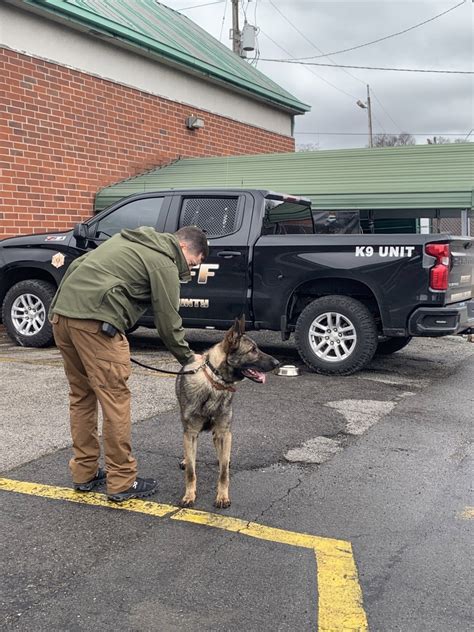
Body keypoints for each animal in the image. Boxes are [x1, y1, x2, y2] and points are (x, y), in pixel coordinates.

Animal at [175, 316, 278, 508]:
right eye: (252, 350)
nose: (277, 363)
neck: (214, 382)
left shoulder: (224, 432)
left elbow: (223, 473)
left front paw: (222, 496)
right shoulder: (191, 433)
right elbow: (191, 471)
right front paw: (189, 495)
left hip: (222, 433)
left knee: (220, 449)